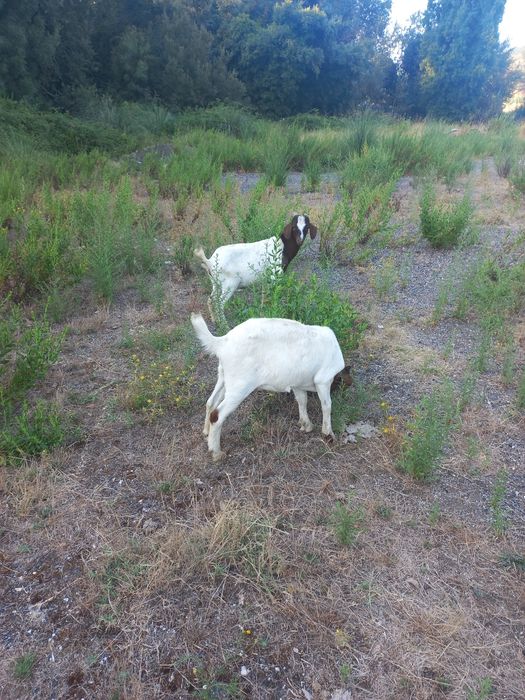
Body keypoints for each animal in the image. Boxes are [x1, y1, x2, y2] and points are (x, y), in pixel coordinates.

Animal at [191, 312, 344, 461]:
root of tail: (223, 342)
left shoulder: (297, 383)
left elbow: (302, 401)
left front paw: (306, 425)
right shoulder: (323, 379)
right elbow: (326, 405)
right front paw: (328, 434)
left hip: (223, 376)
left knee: (210, 402)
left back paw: (206, 433)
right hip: (240, 386)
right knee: (217, 415)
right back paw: (216, 453)